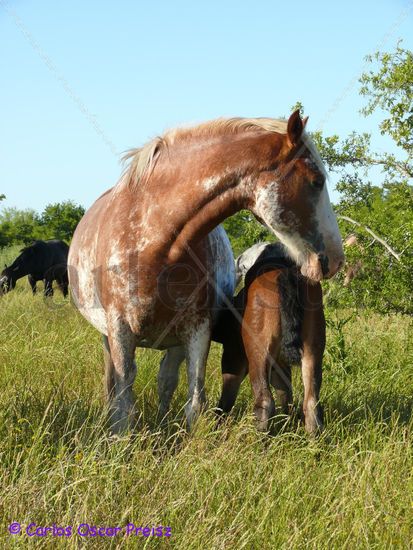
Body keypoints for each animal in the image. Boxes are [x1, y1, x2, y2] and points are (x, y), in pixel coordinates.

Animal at [214, 245, 324, 436]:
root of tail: (285, 271)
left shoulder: (234, 356)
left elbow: (227, 396)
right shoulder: (280, 364)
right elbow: (285, 392)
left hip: (258, 352)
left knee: (264, 402)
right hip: (313, 349)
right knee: (311, 403)